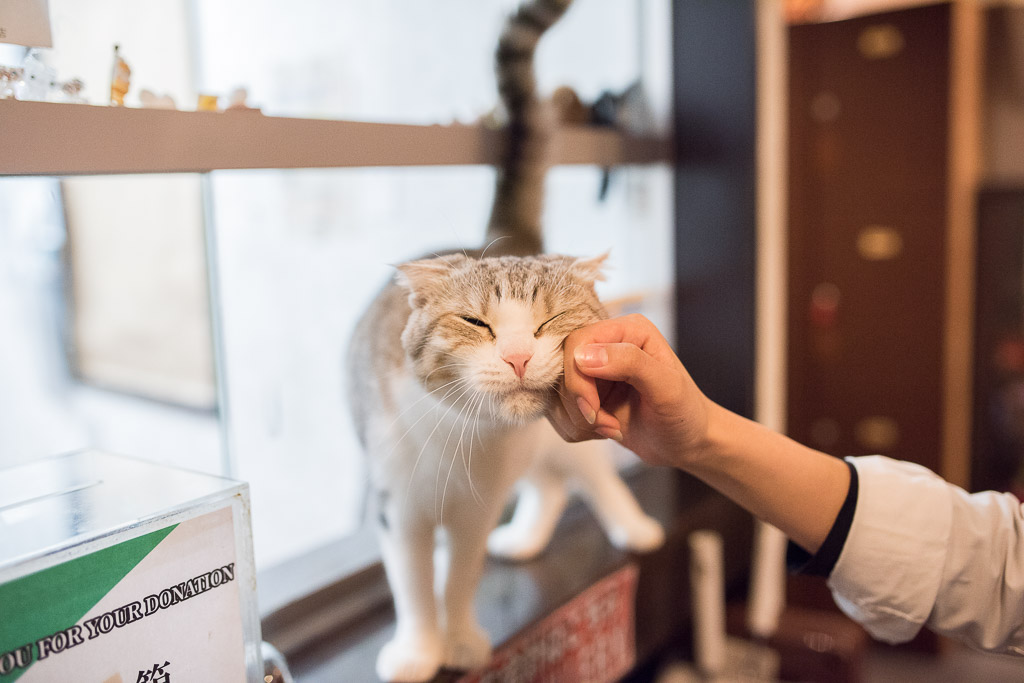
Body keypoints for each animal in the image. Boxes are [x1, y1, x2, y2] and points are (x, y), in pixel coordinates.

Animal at [348, 2, 659, 679]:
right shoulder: (398, 509)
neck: (463, 443)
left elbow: (460, 576)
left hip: (563, 448)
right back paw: (524, 539)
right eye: (477, 324)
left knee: (586, 475)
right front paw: (420, 650)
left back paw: (633, 527)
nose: (517, 355)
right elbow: (414, 585)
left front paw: (460, 640)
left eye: (549, 322)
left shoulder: (476, 509)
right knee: (550, 485)